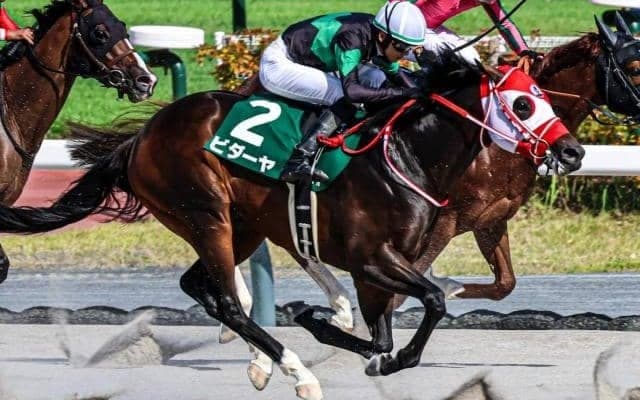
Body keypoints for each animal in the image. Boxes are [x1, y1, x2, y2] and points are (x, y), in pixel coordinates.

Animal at [0, 51, 583, 398]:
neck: (405, 155)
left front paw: (343, 334)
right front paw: (324, 324)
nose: (574, 151)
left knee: (203, 287)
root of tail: (141, 137)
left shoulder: (377, 270)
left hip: (242, 224)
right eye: (522, 103)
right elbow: (433, 302)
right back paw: (295, 371)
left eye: (546, 99)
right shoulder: (373, 258)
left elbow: (382, 333)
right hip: (206, 214)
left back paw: (266, 360)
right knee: (229, 302)